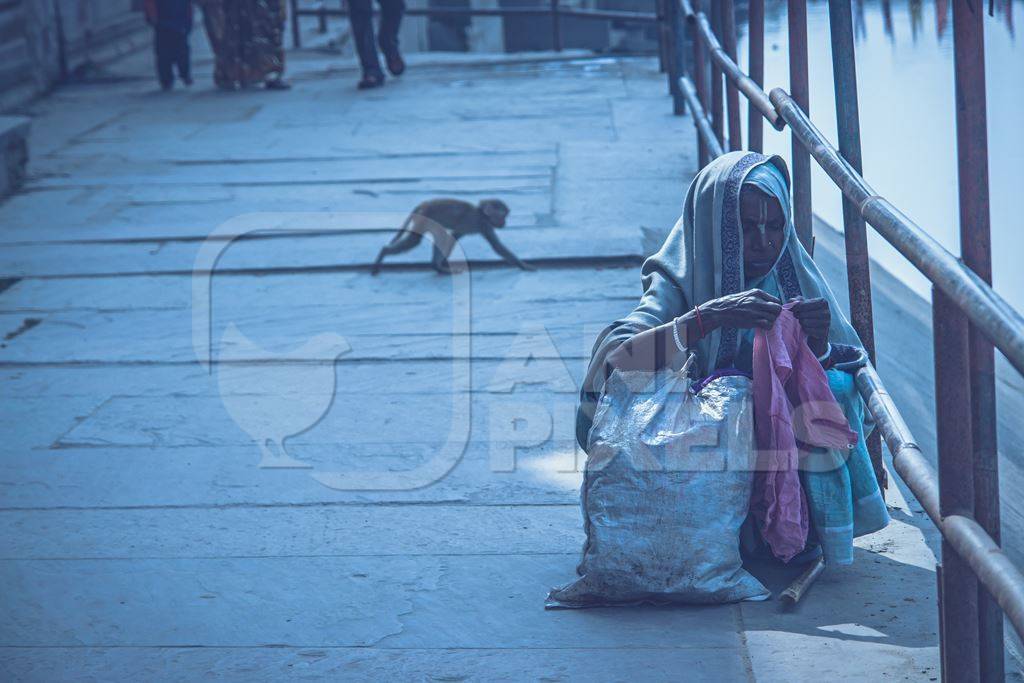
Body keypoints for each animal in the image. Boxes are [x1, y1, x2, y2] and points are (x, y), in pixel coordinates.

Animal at [370, 197, 536, 274]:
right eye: (503, 215)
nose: (504, 223)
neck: (481, 213)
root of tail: (423, 204)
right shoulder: (484, 224)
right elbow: (497, 247)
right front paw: (524, 265)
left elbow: (454, 237)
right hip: (424, 218)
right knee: (415, 240)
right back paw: (383, 252)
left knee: (439, 235)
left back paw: (437, 267)